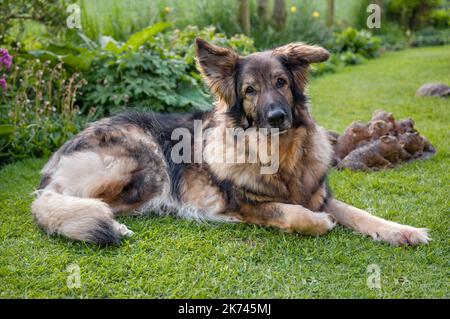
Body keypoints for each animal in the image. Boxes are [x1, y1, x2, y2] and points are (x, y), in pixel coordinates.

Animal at [29, 38, 430, 248]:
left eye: (282, 82)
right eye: (250, 90)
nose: (277, 117)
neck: (279, 157)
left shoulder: (319, 194)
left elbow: (361, 214)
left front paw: (404, 231)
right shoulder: (246, 205)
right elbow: (297, 215)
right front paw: (321, 222)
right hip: (145, 161)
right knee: (66, 202)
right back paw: (111, 225)